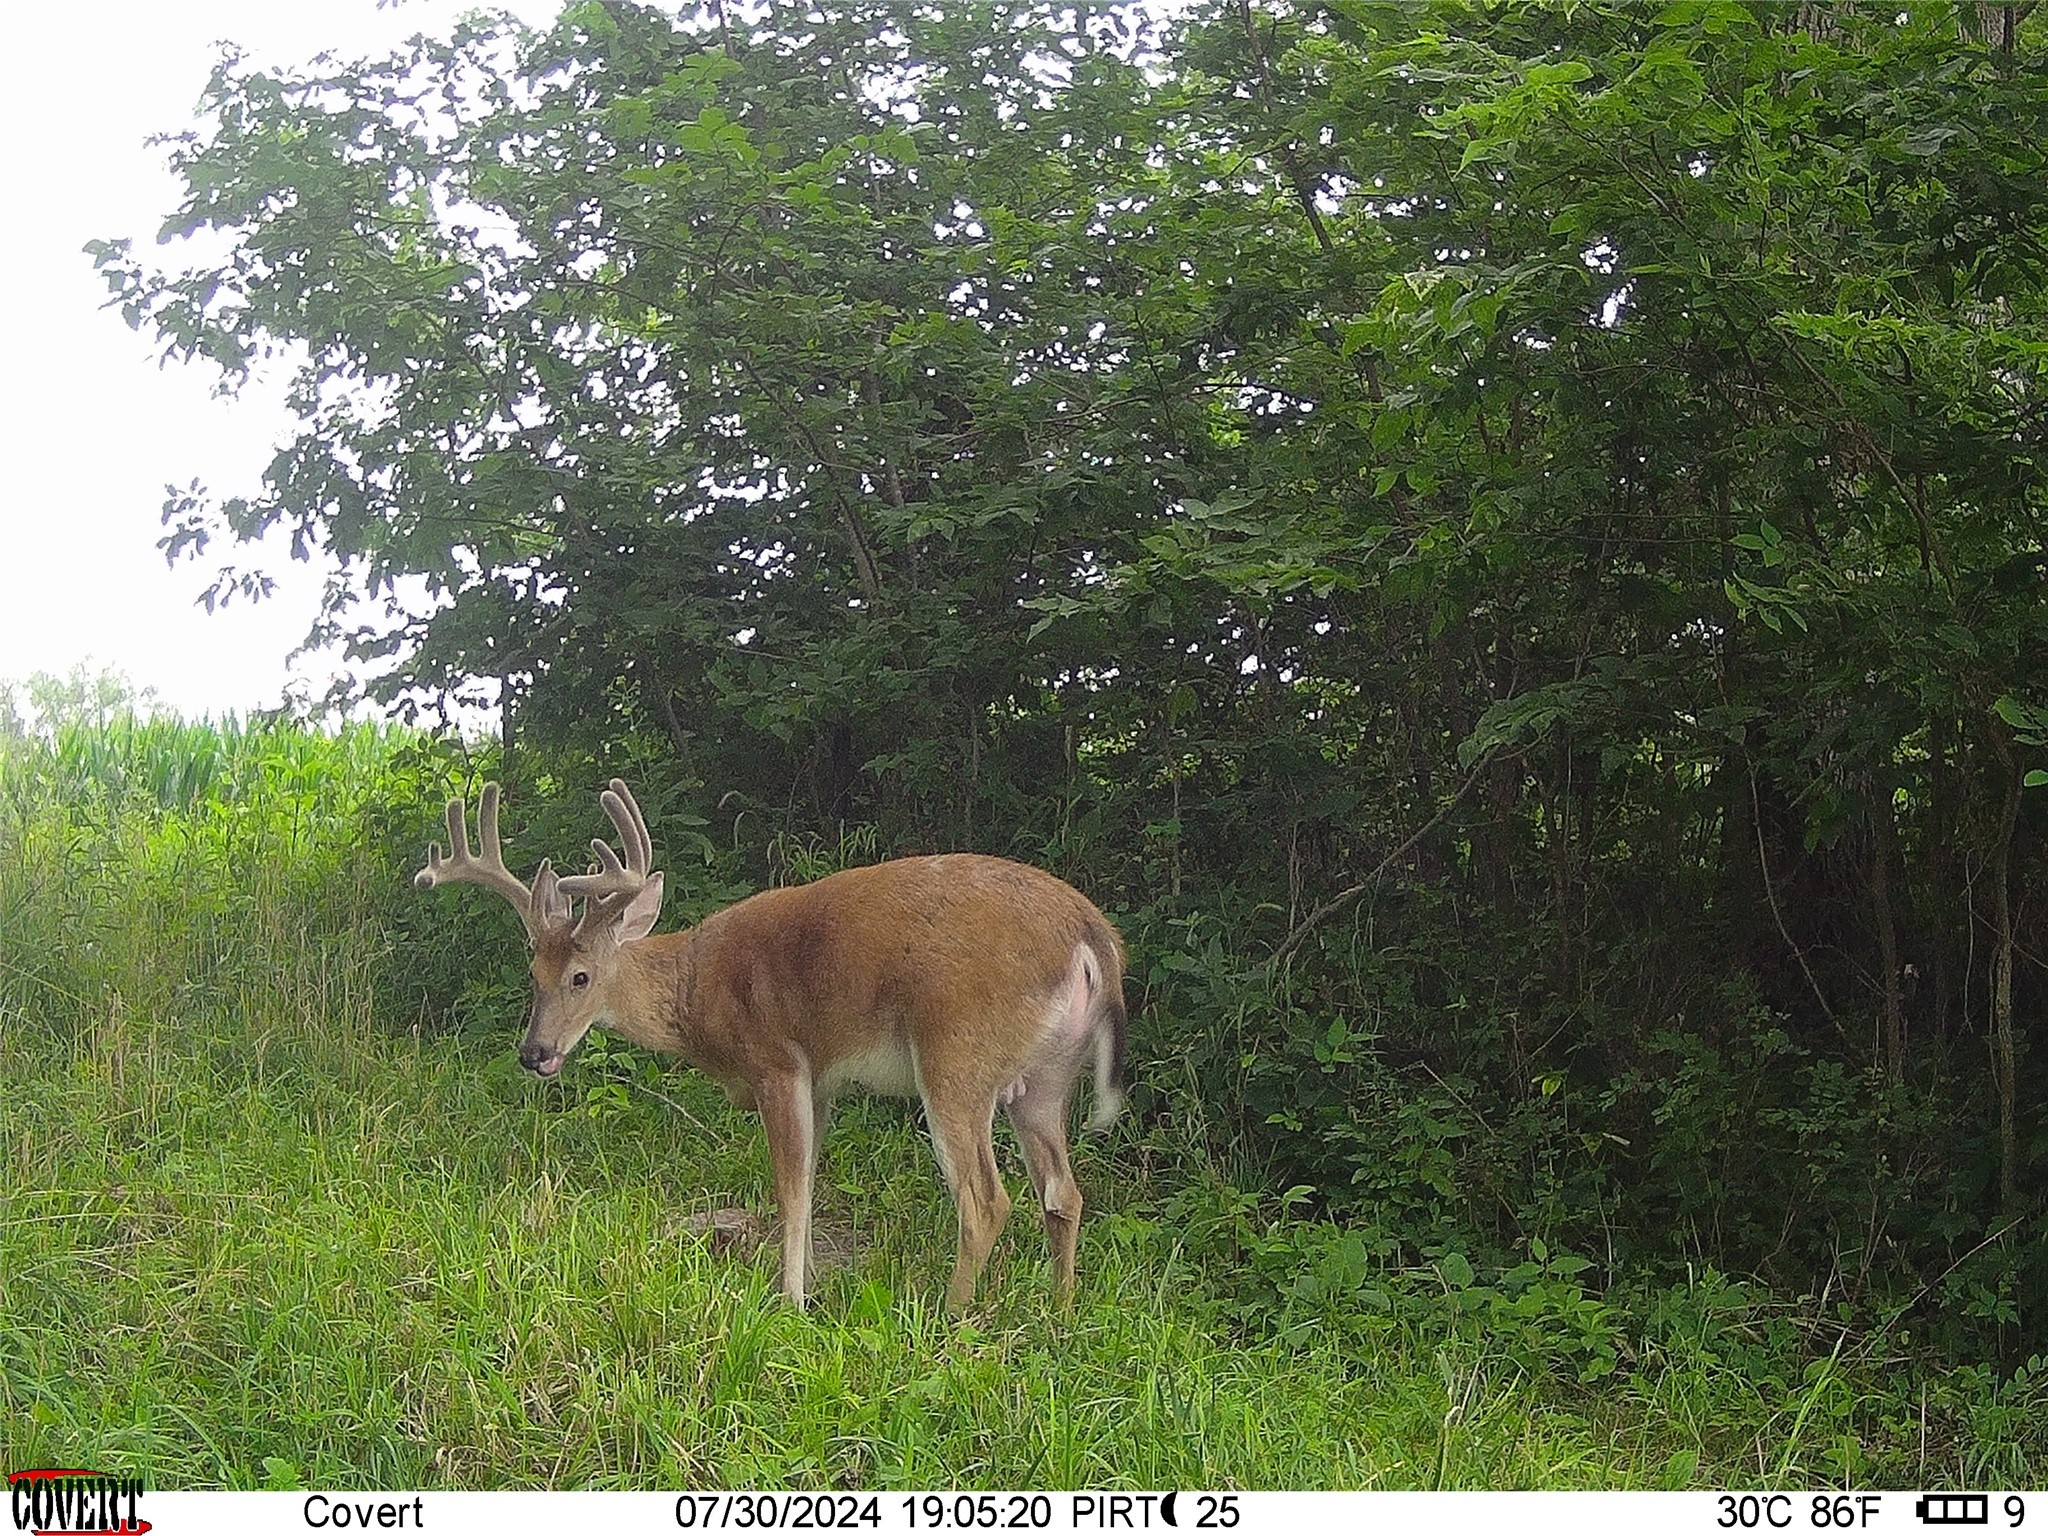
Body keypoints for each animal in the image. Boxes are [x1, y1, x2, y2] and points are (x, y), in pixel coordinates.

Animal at [409, 782, 1130, 1310]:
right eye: (533, 973)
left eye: (581, 977)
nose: (534, 1053)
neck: (697, 991)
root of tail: (1092, 936)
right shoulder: (824, 1080)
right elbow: (808, 1179)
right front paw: (808, 1282)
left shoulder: (776, 1059)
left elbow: (789, 1188)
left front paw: (790, 1301)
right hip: (1045, 1076)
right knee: (1063, 1193)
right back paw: (1060, 1313)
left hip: (958, 1051)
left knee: (985, 1201)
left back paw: (950, 1318)